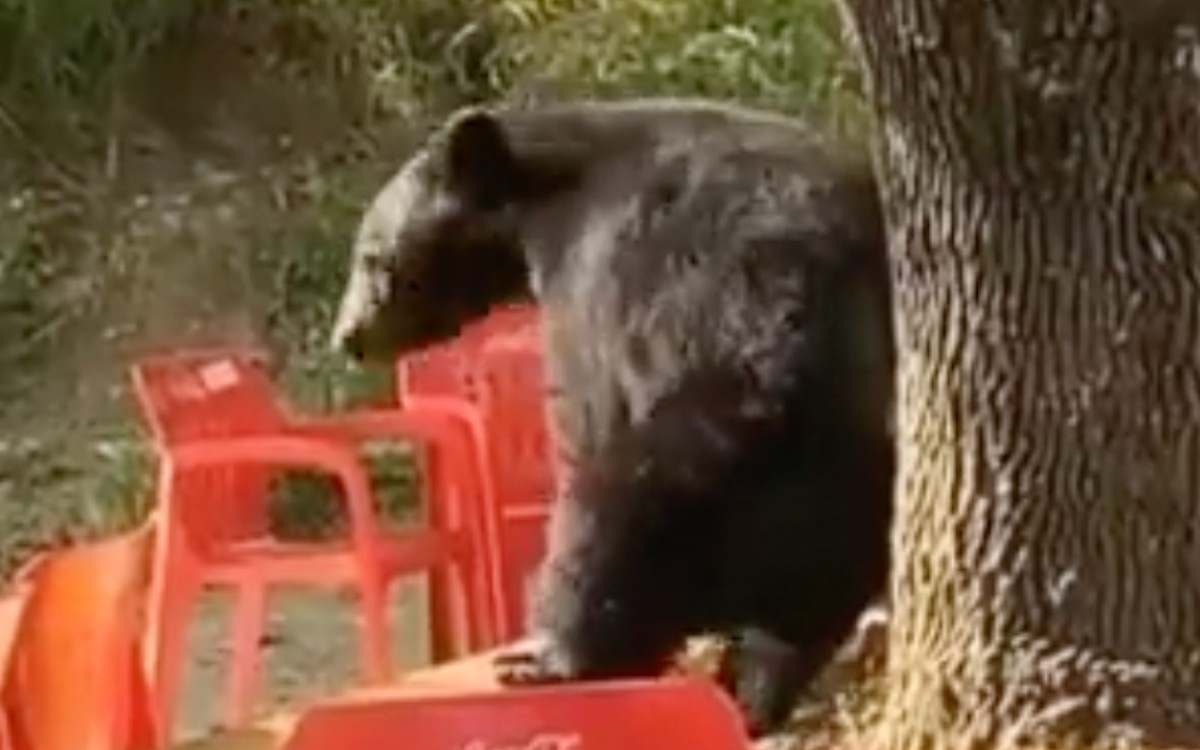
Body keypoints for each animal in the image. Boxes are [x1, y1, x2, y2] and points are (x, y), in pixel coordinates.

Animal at [329, 97, 895, 738]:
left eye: (371, 255)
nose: (347, 337)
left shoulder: (602, 278)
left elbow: (588, 410)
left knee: (613, 513)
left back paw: (552, 656)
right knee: (798, 619)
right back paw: (750, 689)